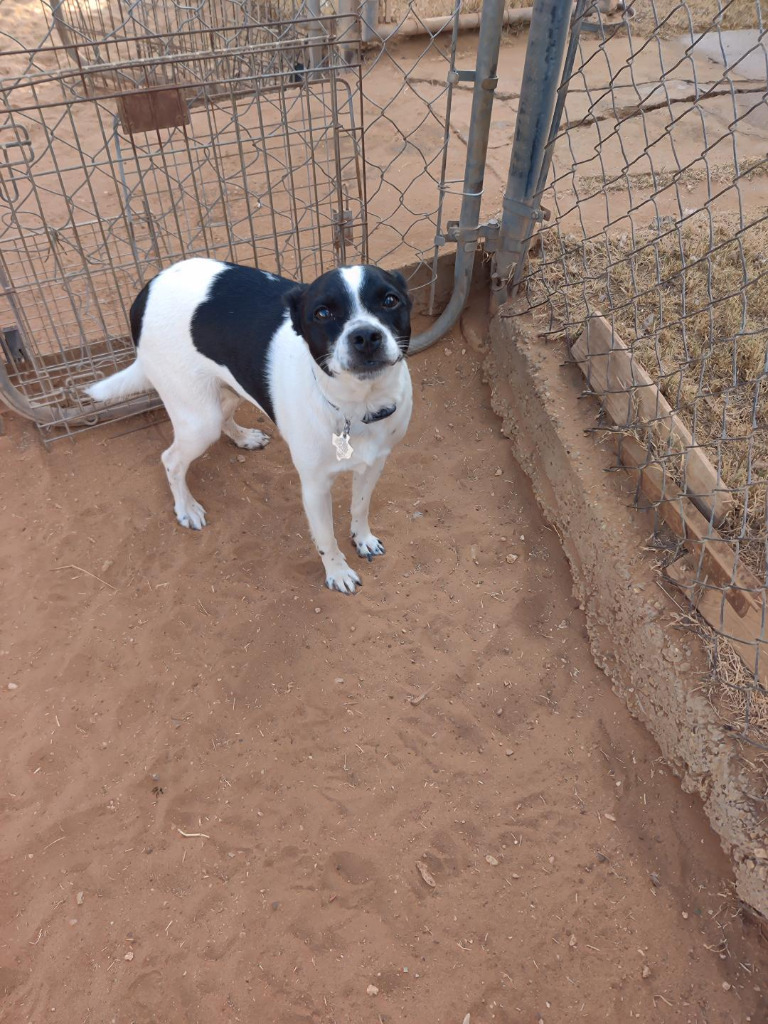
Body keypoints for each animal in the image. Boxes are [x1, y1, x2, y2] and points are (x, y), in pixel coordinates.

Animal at [88, 256, 415, 593]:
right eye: (322, 313)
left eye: (390, 300)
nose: (366, 336)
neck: (356, 408)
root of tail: (147, 288)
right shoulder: (314, 486)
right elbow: (325, 537)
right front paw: (337, 572)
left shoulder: (375, 463)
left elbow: (360, 506)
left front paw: (362, 539)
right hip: (199, 419)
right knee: (171, 459)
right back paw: (186, 508)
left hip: (234, 385)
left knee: (223, 417)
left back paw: (244, 437)